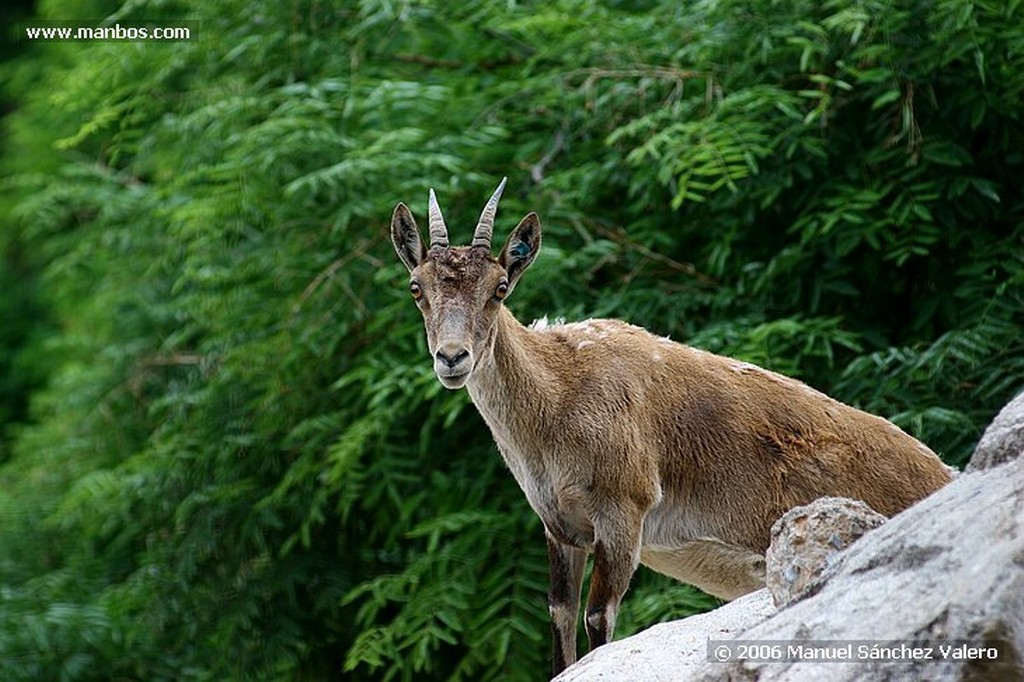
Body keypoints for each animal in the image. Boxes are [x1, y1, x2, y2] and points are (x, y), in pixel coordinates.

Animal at [389, 178, 950, 671]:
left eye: (500, 287)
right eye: (417, 287)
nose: (452, 358)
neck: (560, 395)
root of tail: (944, 472)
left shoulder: (624, 508)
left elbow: (598, 619)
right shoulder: (560, 527)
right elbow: (560, 618)